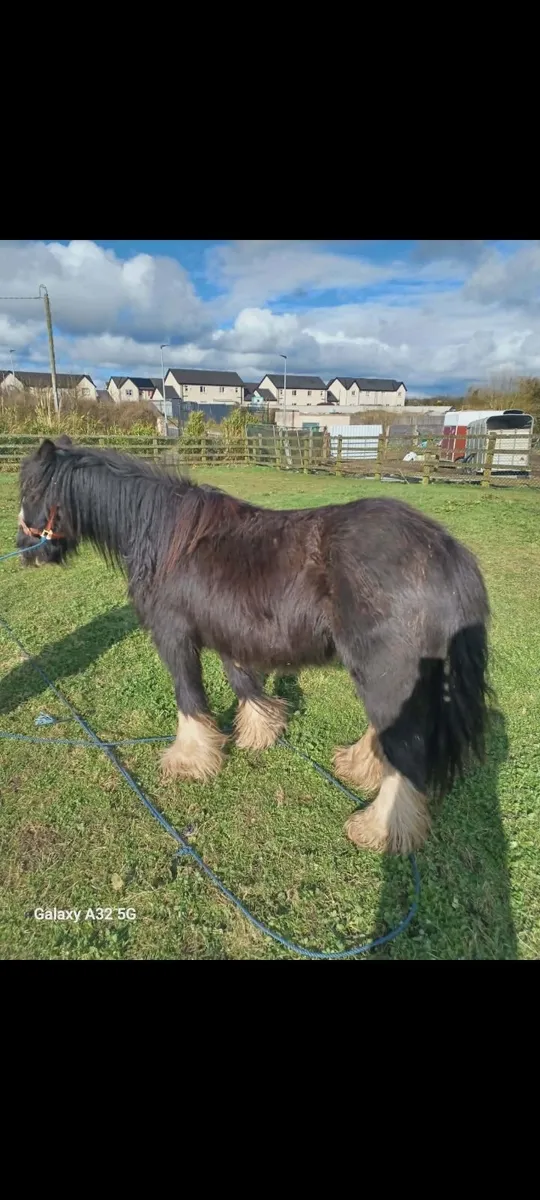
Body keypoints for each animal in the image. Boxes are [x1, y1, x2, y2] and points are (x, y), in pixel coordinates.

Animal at [16, 435, 491, 856]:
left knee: (406, 748)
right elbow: (244, 683)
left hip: (383, 671)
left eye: (31, 490)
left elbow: (189, 697)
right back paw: (357, 766)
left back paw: (377, 828)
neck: (162, 535)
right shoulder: (231, 634)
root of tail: (445, 551)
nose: (25, 551)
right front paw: (260, 732)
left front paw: (189, 760)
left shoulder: (174, 635)